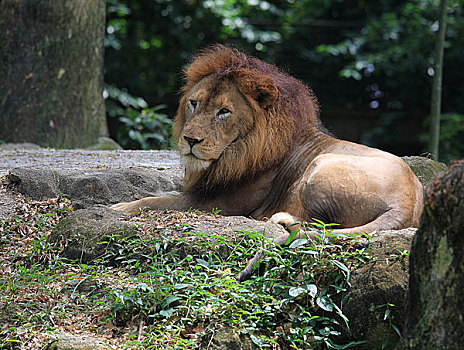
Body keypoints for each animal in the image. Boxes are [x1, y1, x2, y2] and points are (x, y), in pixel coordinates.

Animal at [111, 46, 424, 280]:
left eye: (224, 111)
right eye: (194, 103)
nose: (190, 139)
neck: (237, 152)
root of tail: (405, 204)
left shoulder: (218, 203)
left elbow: (154, 201)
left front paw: (116, 208)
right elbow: (157, 194)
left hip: (321, 163)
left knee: (317, 226)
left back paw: (280, 219)